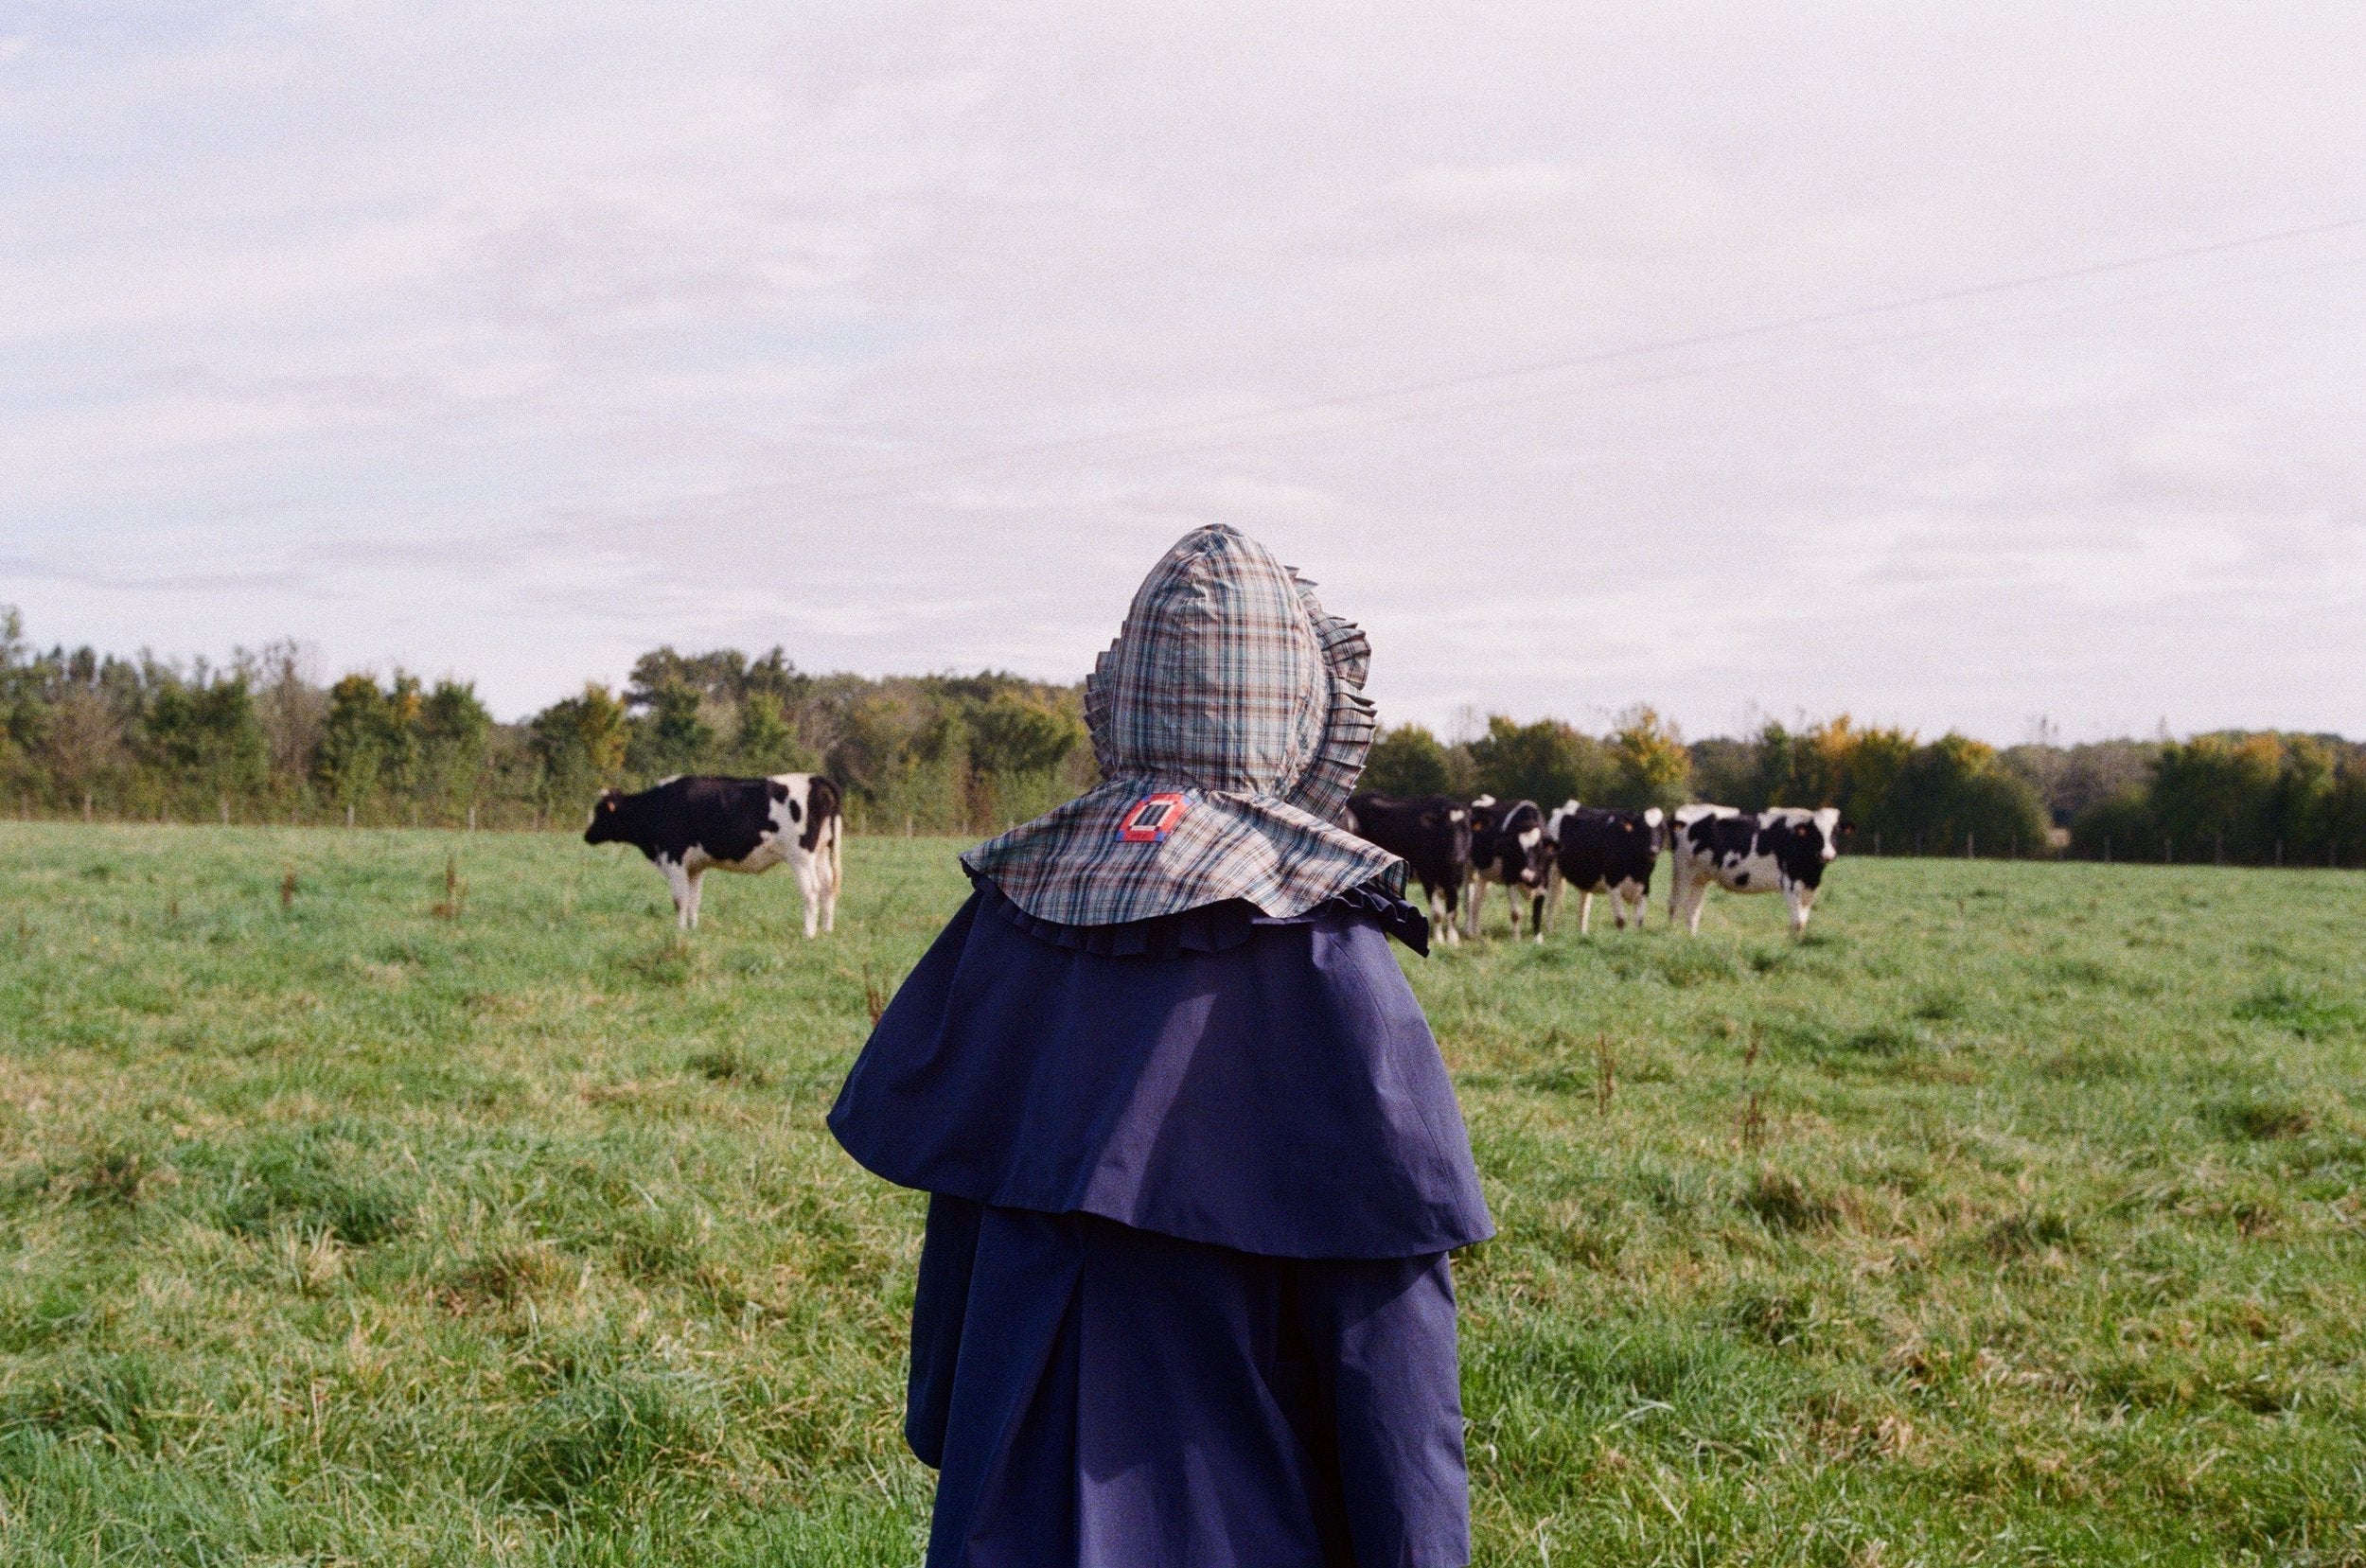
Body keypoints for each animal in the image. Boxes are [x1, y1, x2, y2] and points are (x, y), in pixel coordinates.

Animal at [587, 770, 847, 931]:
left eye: (600, 812)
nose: (586, 836)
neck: (658, 805)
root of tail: (815, 778)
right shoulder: (695, 866)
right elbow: (694, 899)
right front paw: (692, 928)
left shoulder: (674, 859)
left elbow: (679, 900)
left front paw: (679, 929)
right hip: (822, 852)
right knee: (828, 888)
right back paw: (826, 929)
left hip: (801, 857)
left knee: (811, 891)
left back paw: (809, 933)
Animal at [1344, 799, 1467, 945]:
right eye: (1447, 829)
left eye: (1466, 828)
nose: (1457, 857)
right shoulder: (1428, 878)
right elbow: (1437, 913)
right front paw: (1439, 940)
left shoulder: (1455, 881)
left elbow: (1453, 911)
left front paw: (1453, 940)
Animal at [1457, 799, 1552, 945]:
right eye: (1516, 849)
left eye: (1539, 849)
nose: (1527, 875)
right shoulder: (1509, 877)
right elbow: (1516, 912)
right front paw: (1516, 939)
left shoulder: (1544, 880)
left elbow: (1537, 911)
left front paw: (1538, 939)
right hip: (1468, 869)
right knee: (1469, 901)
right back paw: (1469, 932)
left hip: (1484, 875)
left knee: (1478, 901)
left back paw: (1476, 931)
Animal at [1543, 803, 1675, 936]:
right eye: (1643, 828)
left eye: (1663, 829)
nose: (1653, 850)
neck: (1635, 871)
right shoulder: (1613, 884)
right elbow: (1621, 919)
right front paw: (1621, 938)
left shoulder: (1645, 887)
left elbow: (1639, 920)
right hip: (1553, 872)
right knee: (1550, 902)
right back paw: (1549, 931)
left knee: (1583, 908)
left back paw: (1583, 934)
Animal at [1666, 803, 1845, 936]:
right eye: (1816, 832)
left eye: (1835, 831)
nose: (1827, 855)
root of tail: (1685, 809)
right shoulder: (1790, 884)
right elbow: (1797, 922)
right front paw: (1792, 947)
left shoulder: (1809, 887)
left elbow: (1803, 920)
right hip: (1683, 871)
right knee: (1675, 904)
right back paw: (1672, 935)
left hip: (1700, 877)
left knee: (1692, 909)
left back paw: (1692, 938)